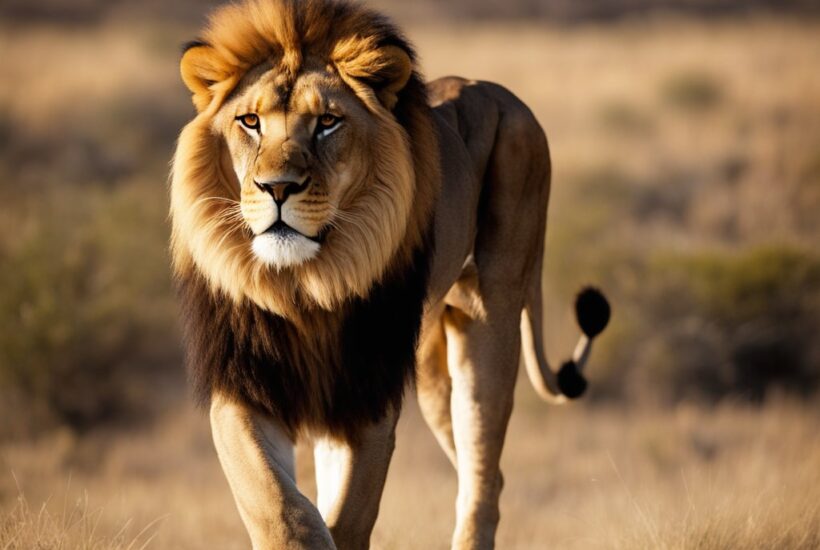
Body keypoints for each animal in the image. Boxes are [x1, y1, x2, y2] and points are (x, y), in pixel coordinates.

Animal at [170, 0, 610, 548]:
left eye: (328, 123)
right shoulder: (246, 385)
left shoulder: (368, 395)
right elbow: (283, 509)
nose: (277, 187)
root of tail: (502, 94)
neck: (306, 284)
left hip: (490, 317)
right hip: (429, 368)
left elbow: (347, 518)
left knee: (483, 477)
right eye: (249, 121)